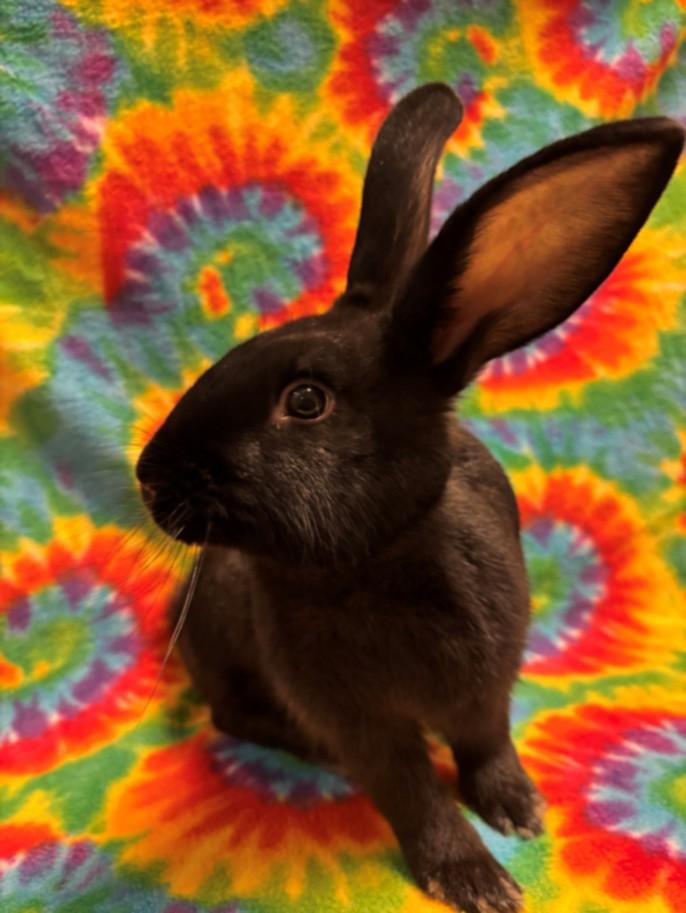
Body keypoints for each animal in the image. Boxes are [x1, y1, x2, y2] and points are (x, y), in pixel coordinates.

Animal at [136, 83, 684, 913]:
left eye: (306, 401)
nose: (149, 477)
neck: (378, 559)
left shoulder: (489, 681)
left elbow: (486, 744)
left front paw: (520, 811)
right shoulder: (360, 720)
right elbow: (412, 791)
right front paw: (477, 880)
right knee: (234, 714)